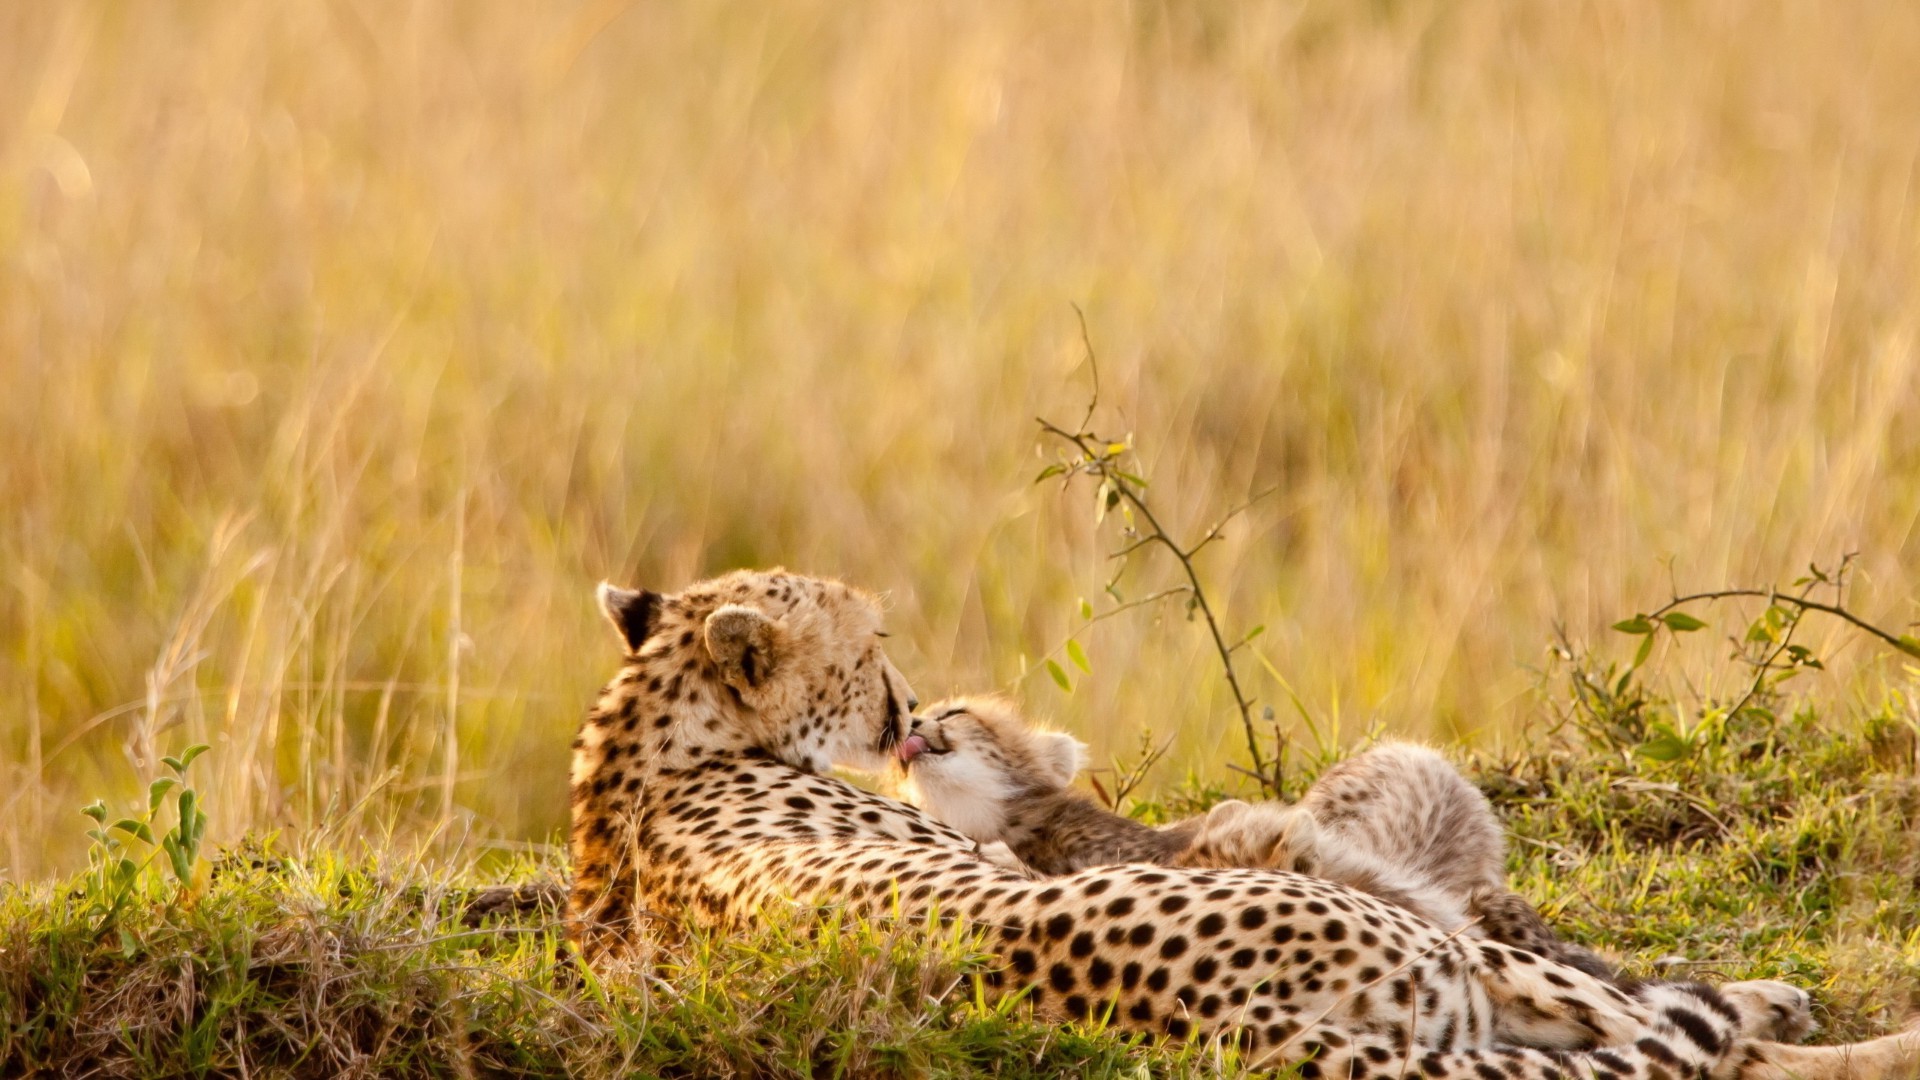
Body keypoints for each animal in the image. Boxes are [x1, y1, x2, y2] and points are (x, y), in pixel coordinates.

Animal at [568, 564, 1920, 1076]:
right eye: (871, 647)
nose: (905, 706)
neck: (647, 744)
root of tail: (1242, 1015)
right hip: (1449, 964)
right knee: (1686, 1046)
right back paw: (1819, 1025)